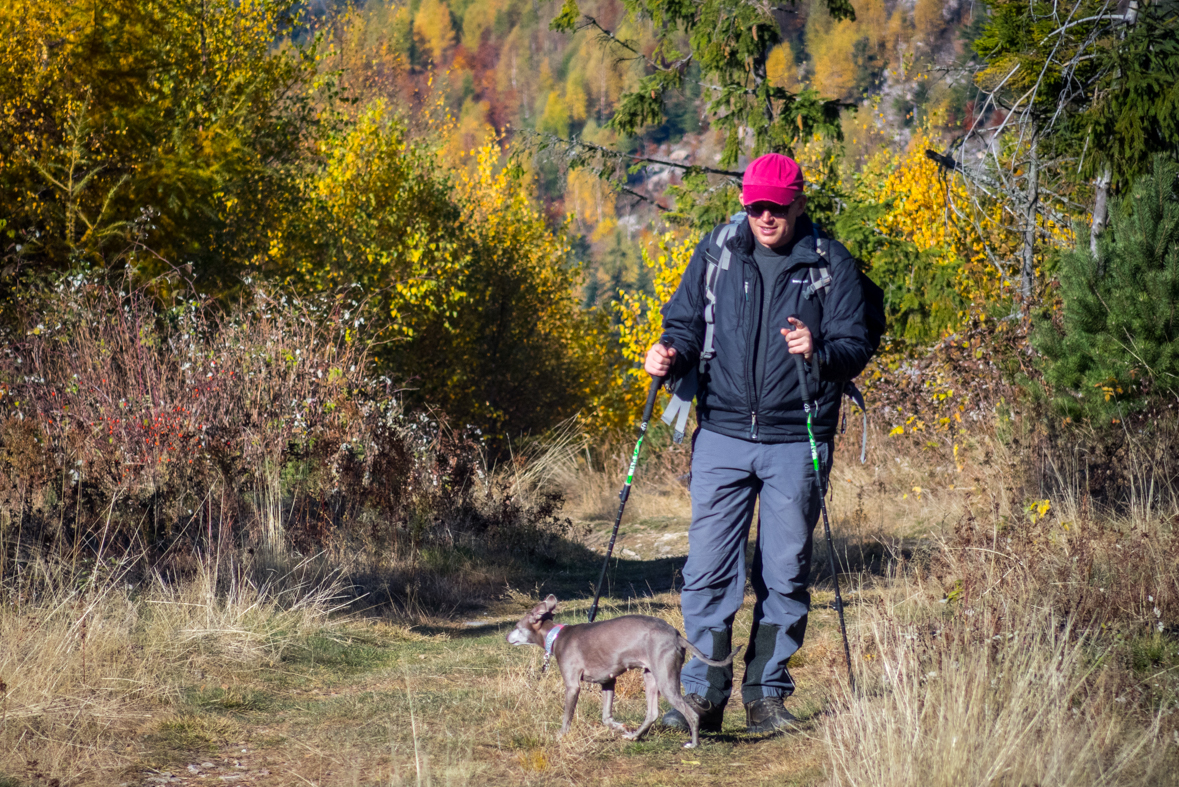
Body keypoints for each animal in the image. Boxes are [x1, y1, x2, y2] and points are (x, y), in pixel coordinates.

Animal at [504, 593, 735, 749]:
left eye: (516, 626)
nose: (506, 637)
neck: (557, 636)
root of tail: (676, 635)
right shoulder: (607, 681)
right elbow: (606, 717)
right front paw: (620, 727)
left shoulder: (572, 685)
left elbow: (567, 716)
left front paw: (561, 735)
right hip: (651, 676)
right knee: (652, 713)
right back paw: (633, 736)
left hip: (665, 678)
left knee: (691, 714)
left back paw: (693, 744)